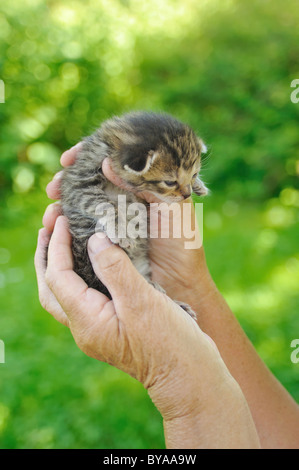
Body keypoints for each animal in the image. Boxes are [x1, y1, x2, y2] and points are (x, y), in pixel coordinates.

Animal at [61, 110, 209, 320]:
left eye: (194, 174)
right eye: (170, 182)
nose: (187, 194)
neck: (110, 147)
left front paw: (199, 185)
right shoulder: (79, 183)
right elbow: (103, 204)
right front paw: (120, 229)